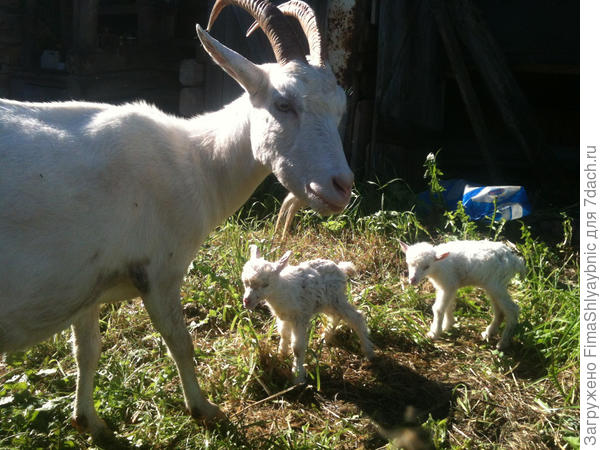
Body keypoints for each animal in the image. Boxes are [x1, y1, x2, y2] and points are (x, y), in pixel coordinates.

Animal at [0, 0, 354, 438]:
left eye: (340, 108)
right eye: (282, 104)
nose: (341, 186)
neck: (195, 161)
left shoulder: (86, 282)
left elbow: (88, 350)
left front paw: (89, 422)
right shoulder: (159, 272)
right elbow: (180, 343)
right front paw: (203, 408)